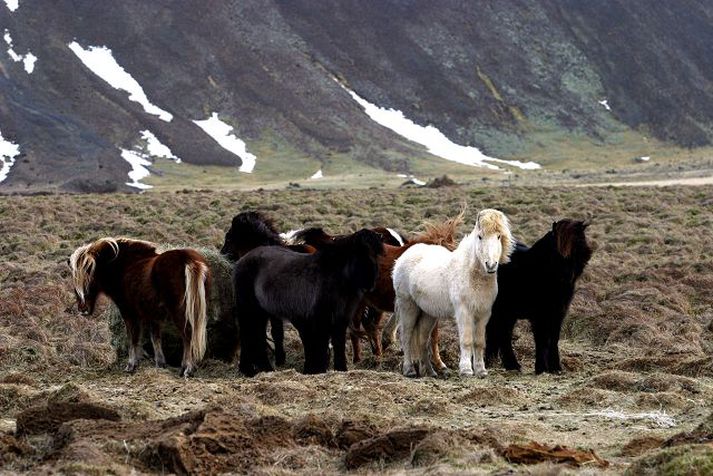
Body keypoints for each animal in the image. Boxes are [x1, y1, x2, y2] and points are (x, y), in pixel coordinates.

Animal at [68, 238, 210, 376]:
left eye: (90, 278)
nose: (83, 309)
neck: (124, 267)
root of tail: (187, 259)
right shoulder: (153, 315)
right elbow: (155, 337)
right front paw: (160, 364)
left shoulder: (129, 313)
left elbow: (133, 338)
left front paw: (131, 365)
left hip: (178, 310)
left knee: (188, 333)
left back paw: (188, 369)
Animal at [232, 229, 384, 378]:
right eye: (360, 252)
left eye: (375, 254)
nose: (371, 282)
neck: (336, 276)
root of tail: (242, 261)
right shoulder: (320, 319)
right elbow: (318, 347)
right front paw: (316, 370)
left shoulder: (340, 319)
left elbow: (337, 343)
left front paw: (340, 369)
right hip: (251, 310)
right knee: (250, 335)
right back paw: (256, 369)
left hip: (261, 313)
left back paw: (254, 369)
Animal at [390, 210, 512, 378]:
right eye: (480, 236)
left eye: (499, 236)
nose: (491, 265)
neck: (471, 274)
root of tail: (402, 258)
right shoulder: (464, 311)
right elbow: (466, 340)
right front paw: (466, 370)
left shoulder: (483, 313)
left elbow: (479, 342)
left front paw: (481, 371)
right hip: (408, 306)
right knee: (407, 336)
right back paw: (409, 370)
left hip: (428, 313)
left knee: (422, 340)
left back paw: (430, 372)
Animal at [484, 218, 596, 372]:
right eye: (561, 243)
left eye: (581, 238)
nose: (584, 253)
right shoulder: (539, 315)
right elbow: (541, 340)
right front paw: (541, 368)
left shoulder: (558, 313)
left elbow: (553, 339)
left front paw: (555, 367)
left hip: (508, 314)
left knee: (503, 335)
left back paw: (510, 365)